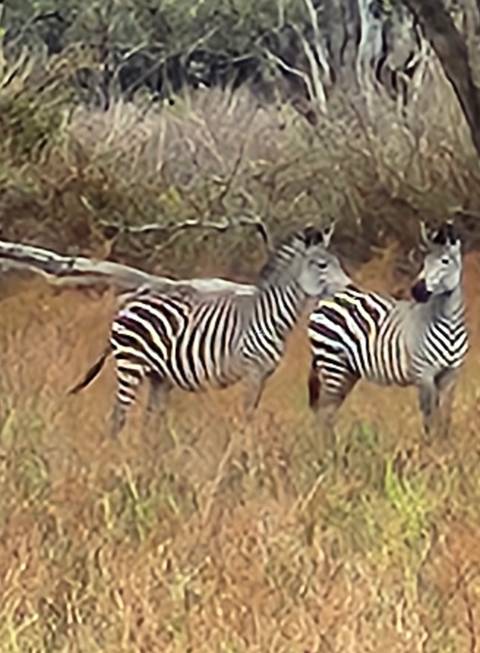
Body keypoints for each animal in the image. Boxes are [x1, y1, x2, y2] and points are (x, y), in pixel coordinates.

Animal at [69, 223, 351, 437]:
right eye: (322, 265)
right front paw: (243, 451)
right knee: (118, 417)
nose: (351, 287)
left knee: (151, 420)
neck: (271, 315)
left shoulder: (264, 374)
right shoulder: (252, 371)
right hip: (131, 364)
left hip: (158, 375)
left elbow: (251, 413)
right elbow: (247, 415)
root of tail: (128, 303)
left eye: (337, 262)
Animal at [307, 220, 468, 447]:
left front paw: (445, 448)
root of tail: (327, 299)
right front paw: (431, 450)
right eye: (425, 261)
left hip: (347, 371)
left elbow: (445, 417)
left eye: (445, 261)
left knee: (328, 412)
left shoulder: (451, 374)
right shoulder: (424, 374)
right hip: (332, 364)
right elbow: (429, 418)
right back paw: (327, 452)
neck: (449, 323)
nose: (417, 291)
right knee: (324, 412)